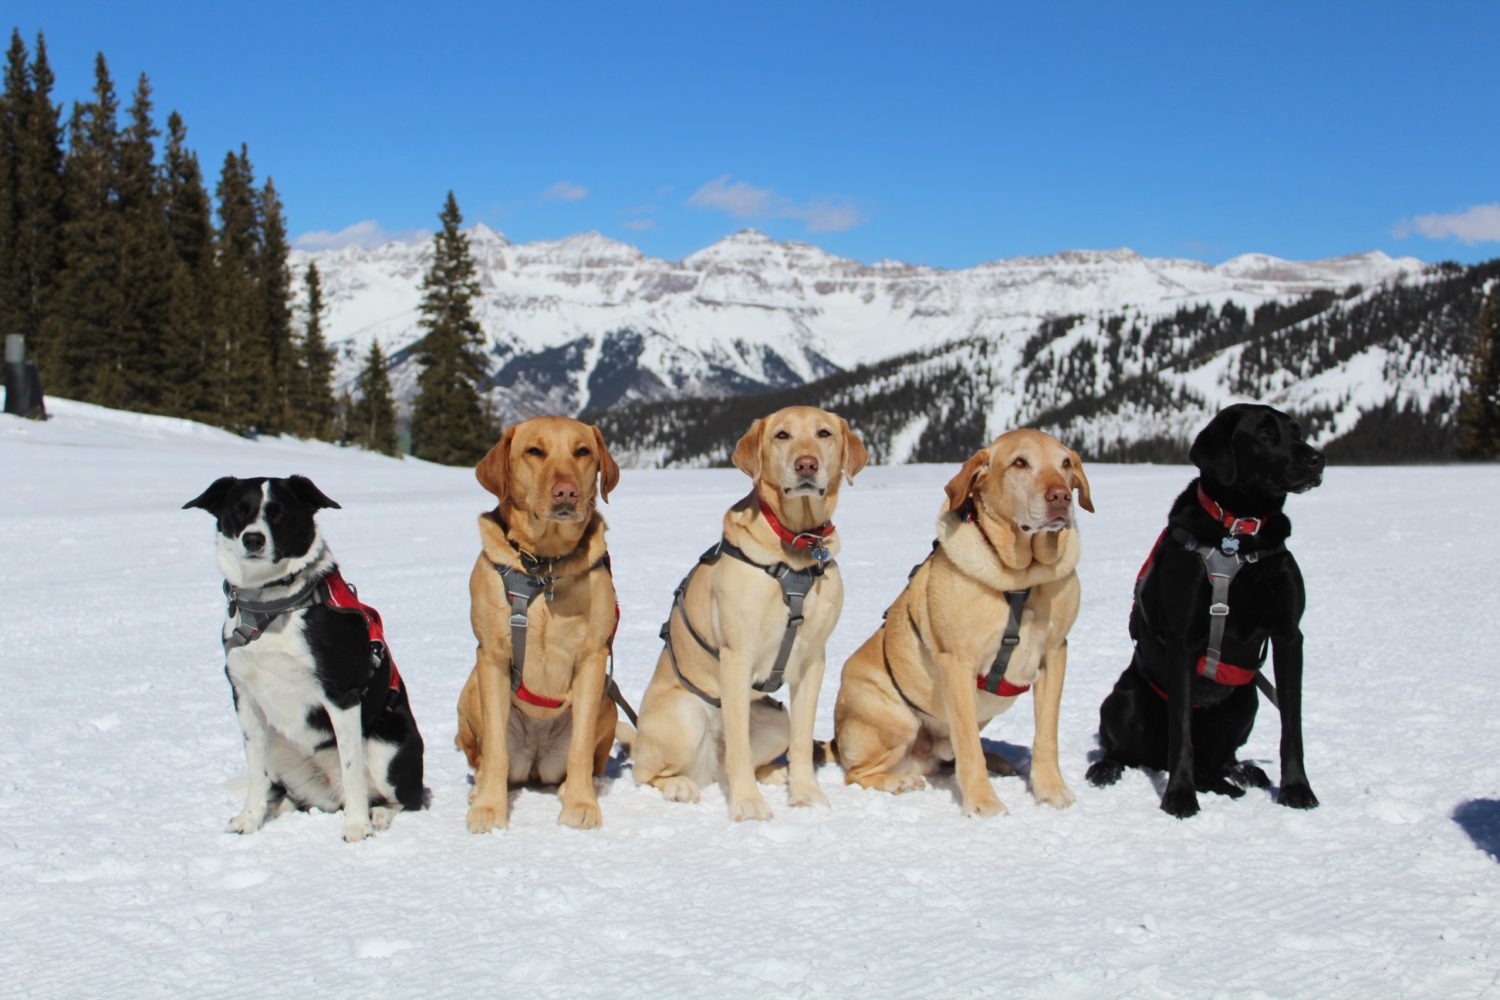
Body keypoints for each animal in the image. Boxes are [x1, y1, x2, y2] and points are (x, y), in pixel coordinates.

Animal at [186, 476, 429, 845]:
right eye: (239, 511)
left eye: (279, 513)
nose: (253, 539)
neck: (271, 607)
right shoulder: (244, 697)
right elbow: (255, 772)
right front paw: (249, 819)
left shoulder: (341, 695)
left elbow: (352, 768)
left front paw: (357, 827)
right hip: (280, 748)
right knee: (292, 795)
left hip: (389, 746)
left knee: (404, 798)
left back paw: (378, 814)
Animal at [1092, 401, 1326, 815]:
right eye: (1266, 433)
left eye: (1297, 431)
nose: (1318, 459)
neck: (1239, 533)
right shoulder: (1183, 642)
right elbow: (1181, 733)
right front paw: (1179, 797)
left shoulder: (1288, 635)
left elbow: (1292, 724)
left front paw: (1297, 789)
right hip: (1123, 697)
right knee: (1127, 749)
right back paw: (1106, 768)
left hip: (1247, 700)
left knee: (1220, 758)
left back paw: (1244, 773)